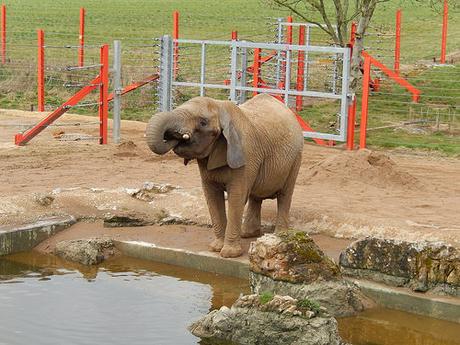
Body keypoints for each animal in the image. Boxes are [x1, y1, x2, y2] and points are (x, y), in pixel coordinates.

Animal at [145, 92, 302, 256]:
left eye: (203, 122)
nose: (175, 137)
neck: (220, 108)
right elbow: (212, 196)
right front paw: (215, 248)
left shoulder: (245, 155)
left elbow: (236, 197)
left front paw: (229, 253)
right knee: (255, 197)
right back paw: (247, 234)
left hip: (296, 158)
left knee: (285, 195)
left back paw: (279, 235)